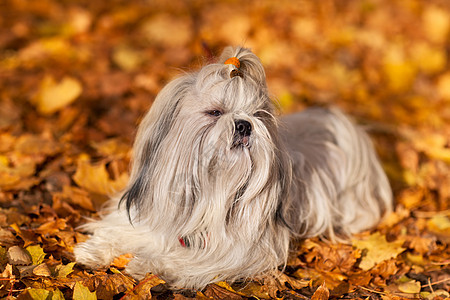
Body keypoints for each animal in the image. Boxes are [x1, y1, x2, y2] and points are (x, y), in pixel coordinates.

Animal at [73, 46, 390, 288]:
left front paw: (147, 264)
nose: (245, 124)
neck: (212, 189)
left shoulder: (239, 253)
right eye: (215, 112)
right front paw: (94, 250)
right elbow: (124, 231)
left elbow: (186, 261)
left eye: (258, 115)